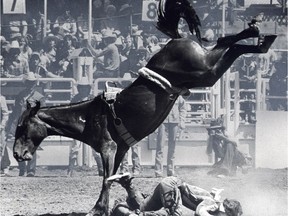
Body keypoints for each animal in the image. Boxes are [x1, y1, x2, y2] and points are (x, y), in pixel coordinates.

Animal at [11, 0, 276, 216]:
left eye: (22, 126)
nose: (16, 154)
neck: (87, 116)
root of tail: (176, 39)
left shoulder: (108, 148)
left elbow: (106, 179)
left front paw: (98, 209)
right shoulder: (119, 150)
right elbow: (112, 177)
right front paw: (105, 203)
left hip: (203, 70)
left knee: (224, 44)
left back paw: (256, 34)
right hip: (206, 74)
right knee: (228, 47)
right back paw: (260, 39)